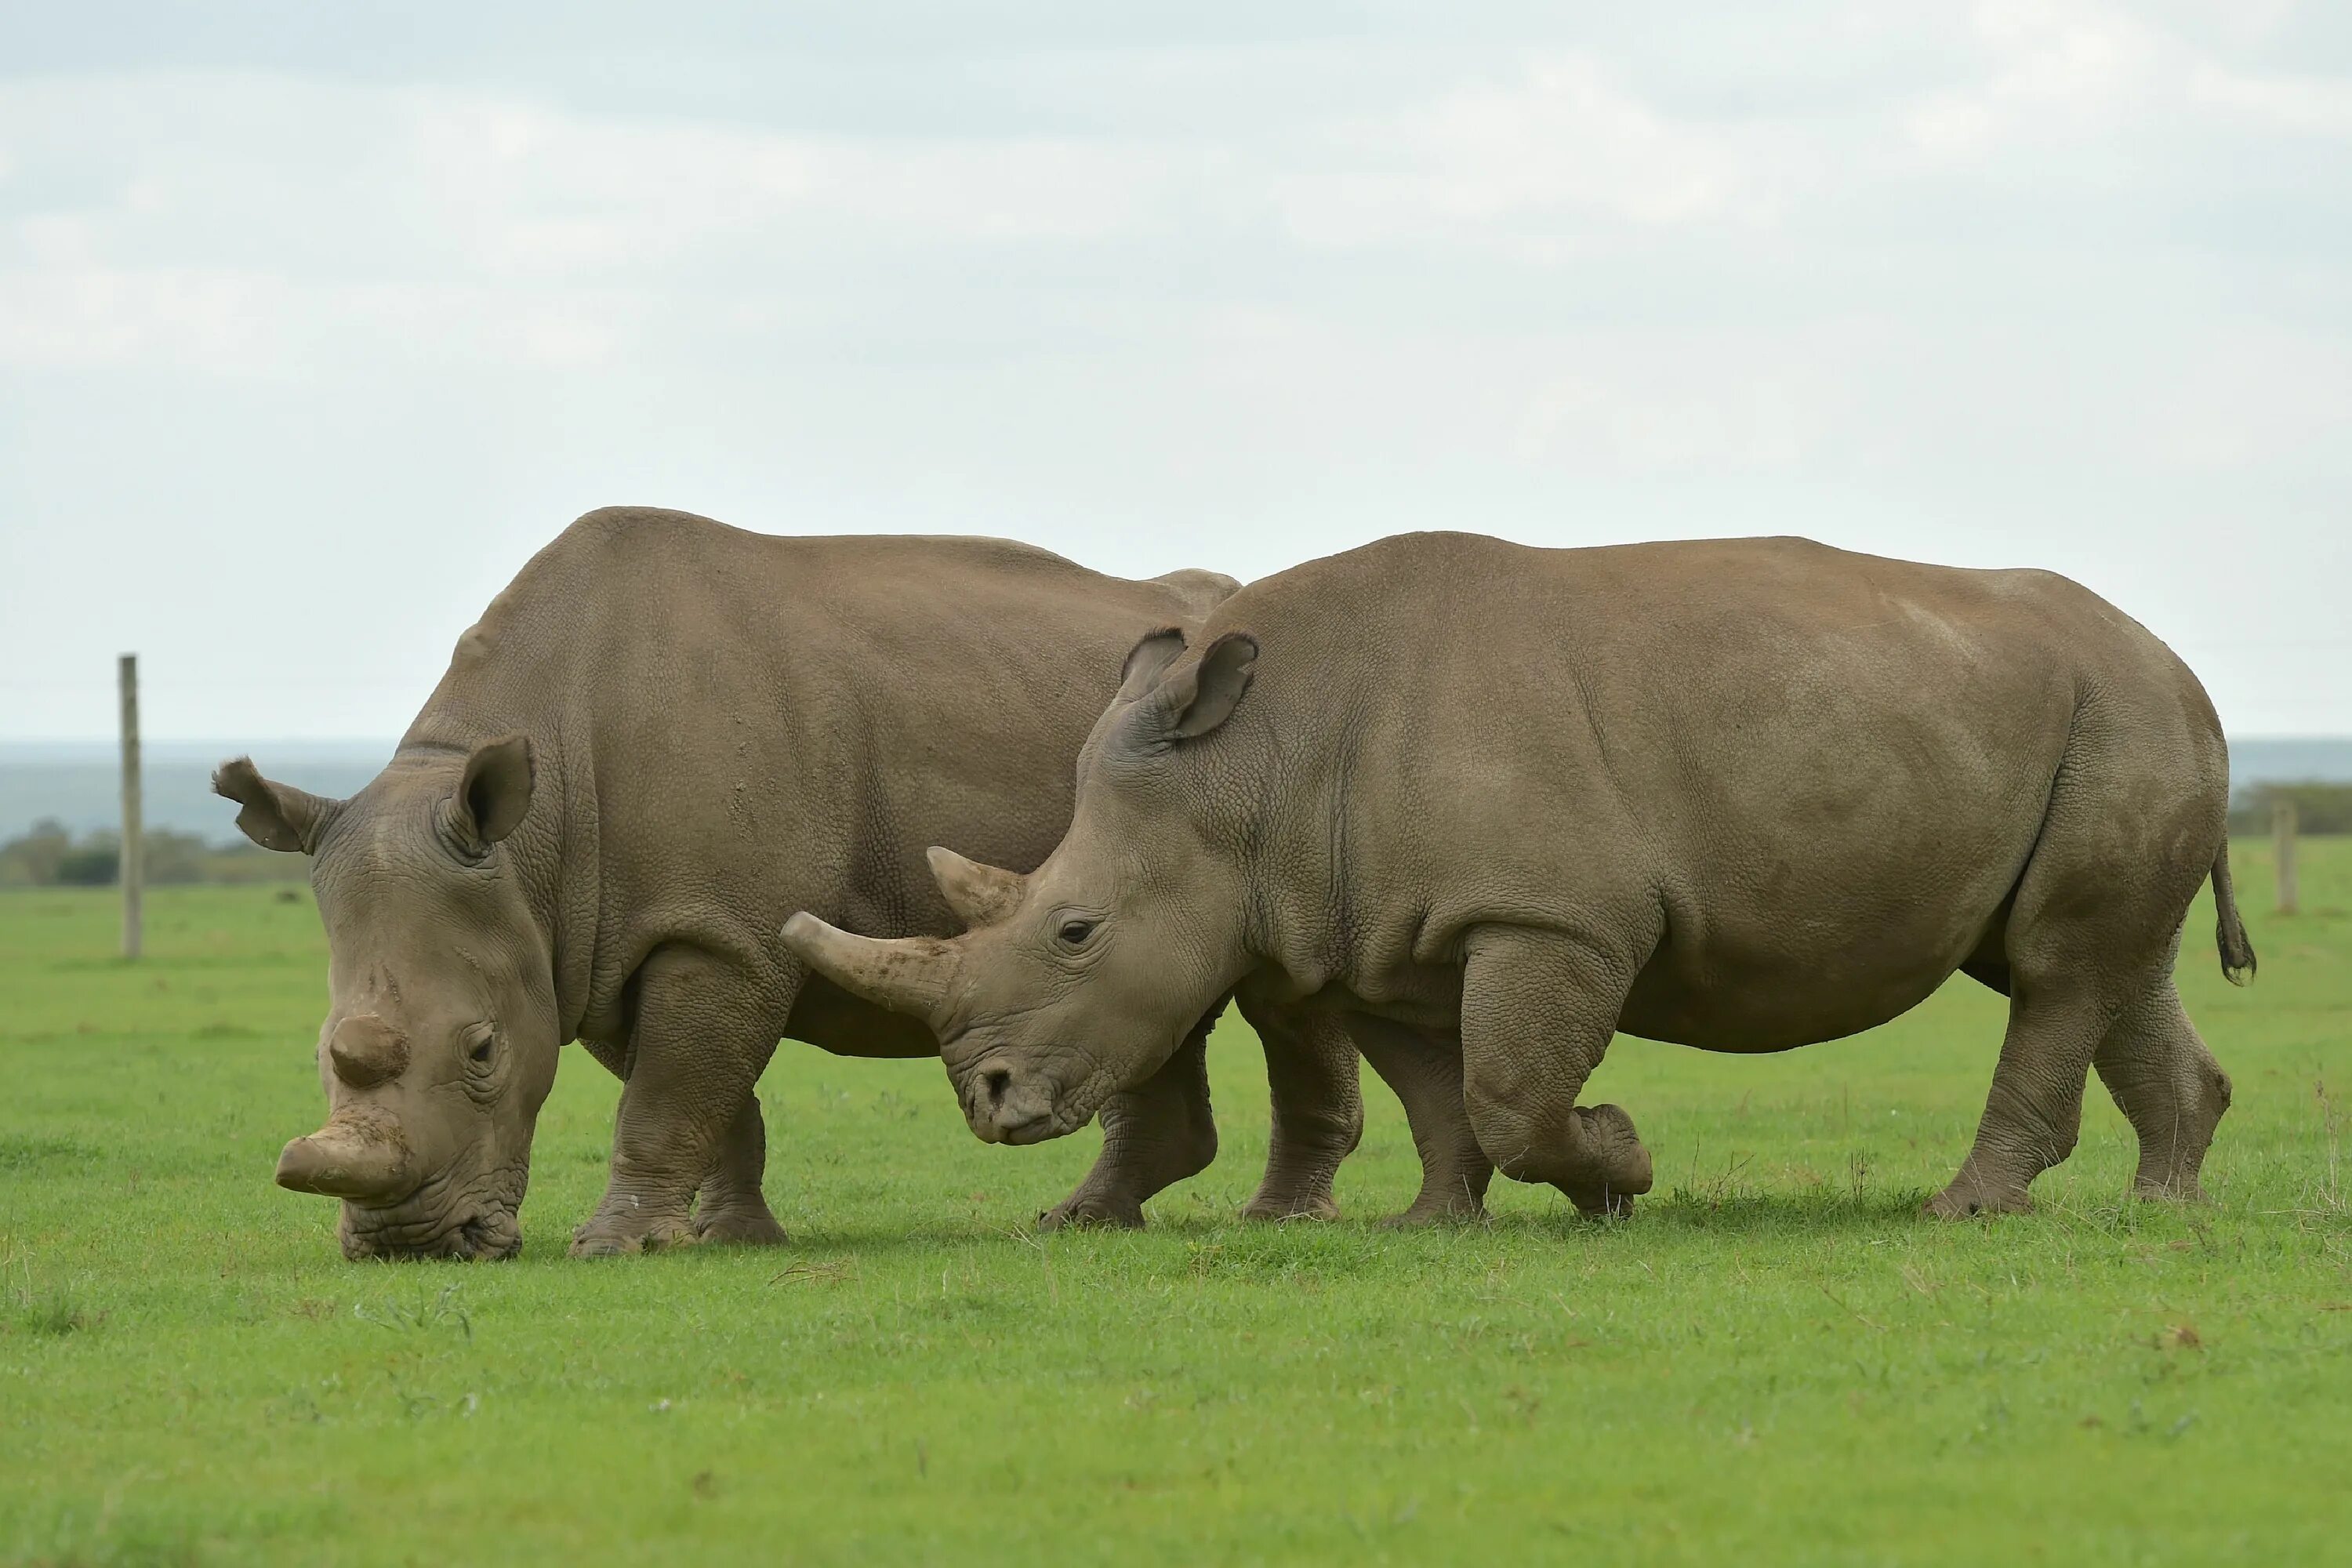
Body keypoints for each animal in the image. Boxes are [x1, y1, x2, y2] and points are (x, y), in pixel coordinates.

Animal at [219, 510, 1374, 1260]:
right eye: (322, 1053)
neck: (531, 836)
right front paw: (727, 1236)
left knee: (1284, 982)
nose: (407, 1244)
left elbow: (670, 1093)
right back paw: (1085, 1223)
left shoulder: (707, 930)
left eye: (483, 1052)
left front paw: (614, 1245)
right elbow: (705, 1092)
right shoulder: (604, 935)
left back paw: (1275, 1223)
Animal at [781, 533, 2249, 1222]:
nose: (989, 1103)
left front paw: (1620, 1168)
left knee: (2057, 969)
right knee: (2098, 967)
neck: (1251, 770)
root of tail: (2181, 662)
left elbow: (1508, 1087)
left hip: (2120, 711)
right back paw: (2160, 1209)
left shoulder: (1555, 917)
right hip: (2095, 717)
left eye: (1076, 931)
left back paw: (1965, 1210)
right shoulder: (1371, 925)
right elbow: (1443, 1092)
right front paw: (1433, 1223)